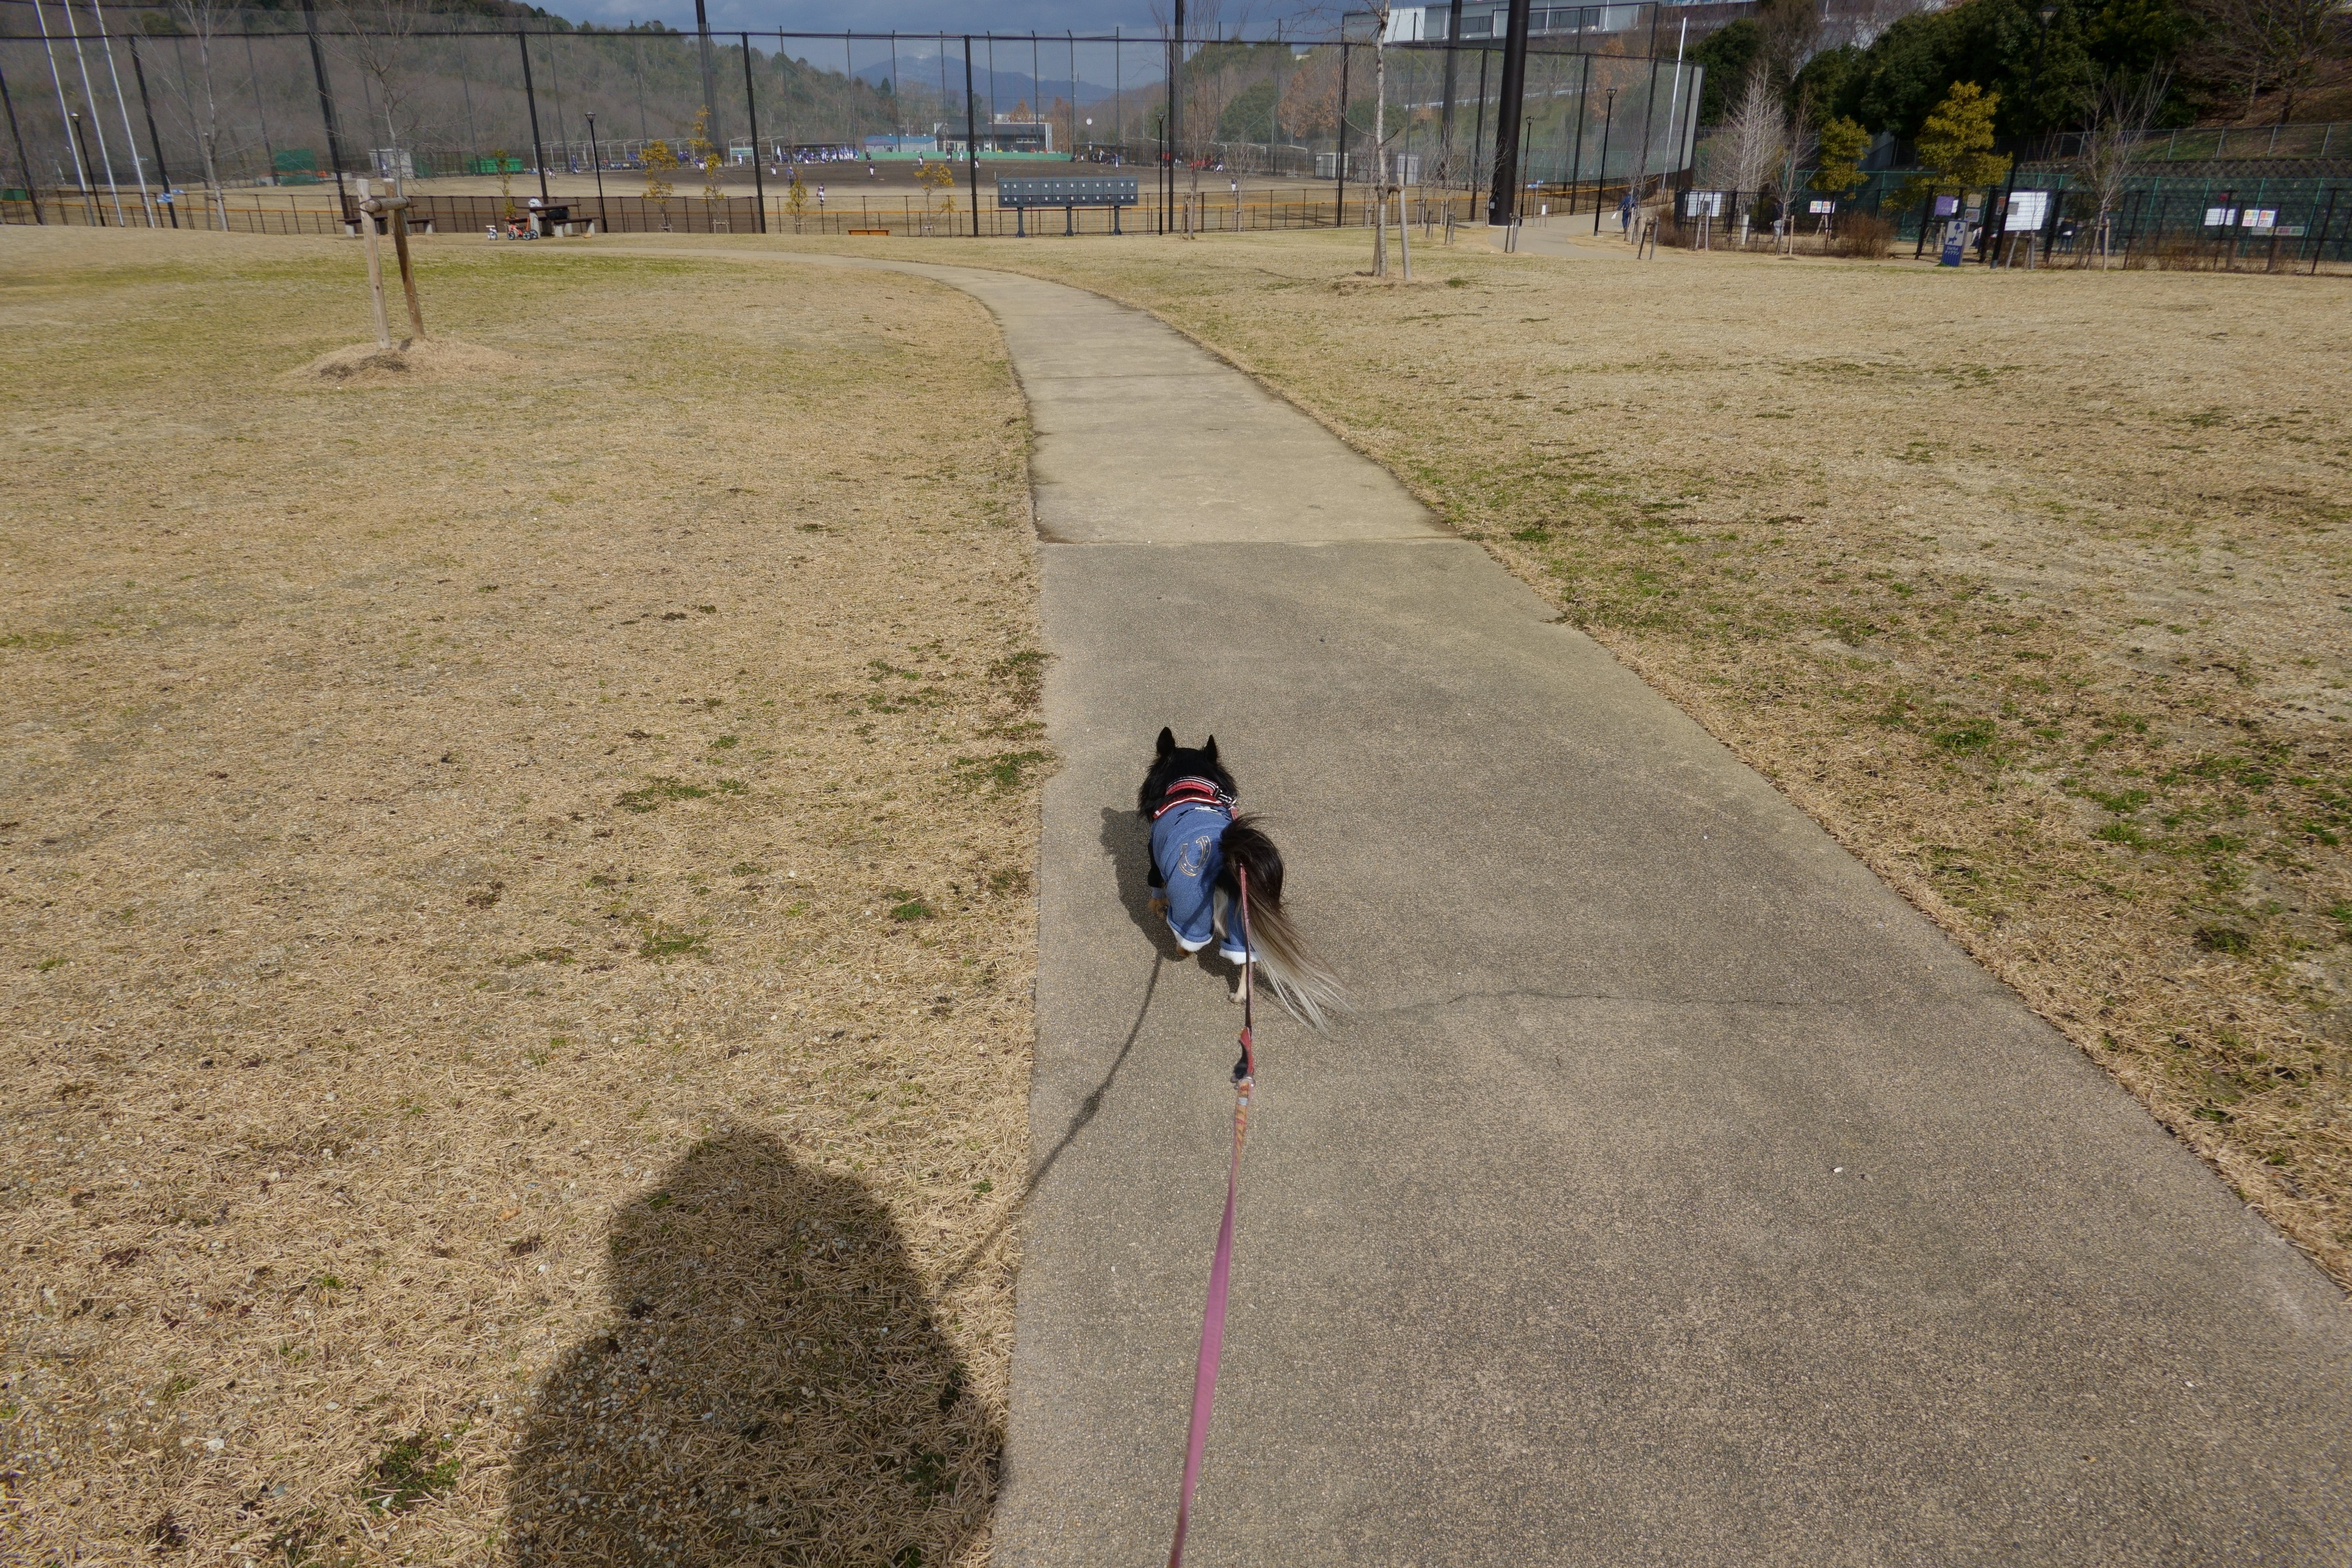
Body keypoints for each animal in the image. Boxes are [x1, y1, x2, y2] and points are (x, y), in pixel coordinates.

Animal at [1138, 728, 1345, 1025]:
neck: (1190, 786)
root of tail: (1227, 864)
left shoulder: (1154, 856)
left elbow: (1155, 887)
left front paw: (1156, 907)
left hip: (1191, 903)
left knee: (1191, 938)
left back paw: (1182, 951)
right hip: (1241, 912)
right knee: (1246, 957)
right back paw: (1241, 996)